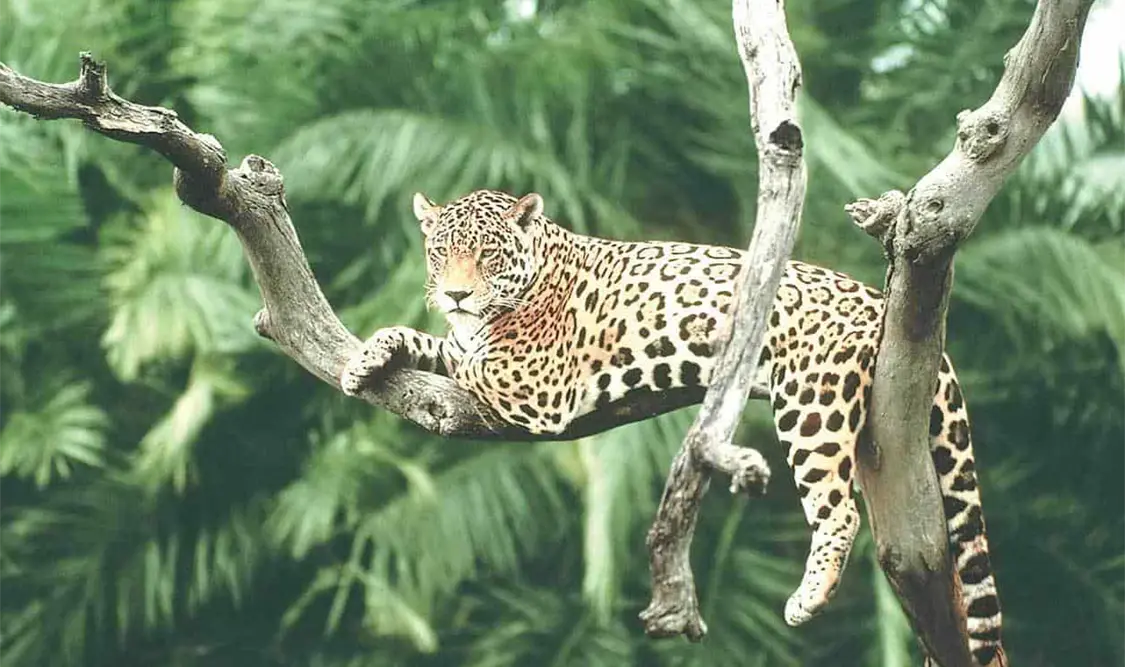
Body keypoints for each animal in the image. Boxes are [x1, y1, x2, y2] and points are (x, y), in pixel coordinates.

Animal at [340, 189, 1006, 666]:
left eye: (488, 255)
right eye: (440, 253)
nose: (456, 294)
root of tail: (877, 299)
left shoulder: (538, 384)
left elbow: (469, 358)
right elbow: (431, 341)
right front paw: (367, 358)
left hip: (809, 402)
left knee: (837, 509)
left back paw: (807, 598)